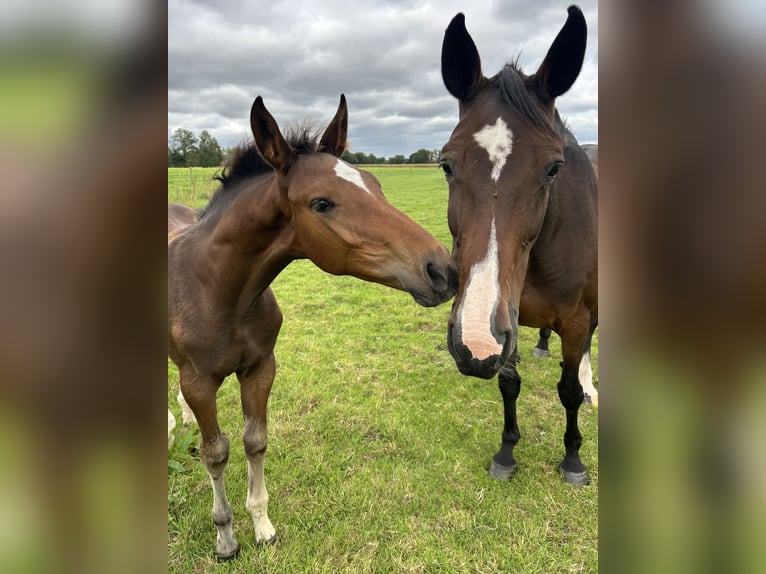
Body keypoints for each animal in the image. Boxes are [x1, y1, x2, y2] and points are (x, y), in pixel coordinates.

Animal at [168, 94, 458, 560]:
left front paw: (263, 526)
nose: (442, 269)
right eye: (322, 203)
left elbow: (255, 441)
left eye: (375, 184)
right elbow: (215, 454)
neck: (218, 292)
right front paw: (226, 537)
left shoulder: (260, 369)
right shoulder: (198, 381)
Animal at [439, 5, 597, 486]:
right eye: (446, 165)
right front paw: (506, 452)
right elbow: (509, 383)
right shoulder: (506, 320)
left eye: (553, 168)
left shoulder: (576, 321)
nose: (475, 340)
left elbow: (567, 389)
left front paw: (573, 459)